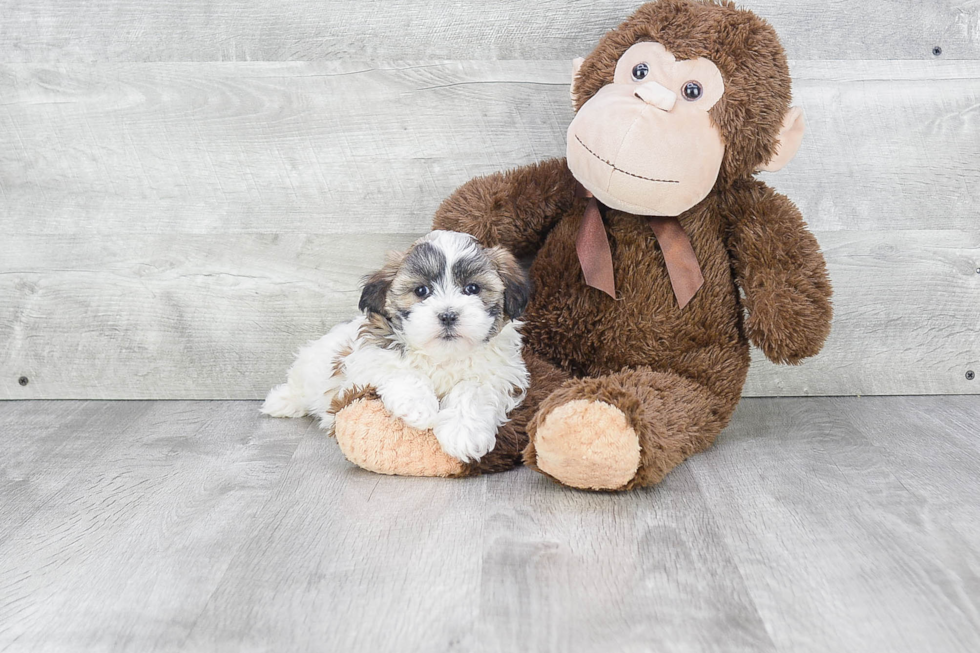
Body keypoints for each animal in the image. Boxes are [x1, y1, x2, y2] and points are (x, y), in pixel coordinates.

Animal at [260, 232, 532, 460]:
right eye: (421, 291)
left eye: (472, 288)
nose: (448, 315)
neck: (442, 356)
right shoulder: (368, 357)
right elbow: (402, 372)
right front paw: (419, 408)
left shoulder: (500, 374)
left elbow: (472, 390)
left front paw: (463, 433)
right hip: (312, 365)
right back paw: (282, 401)